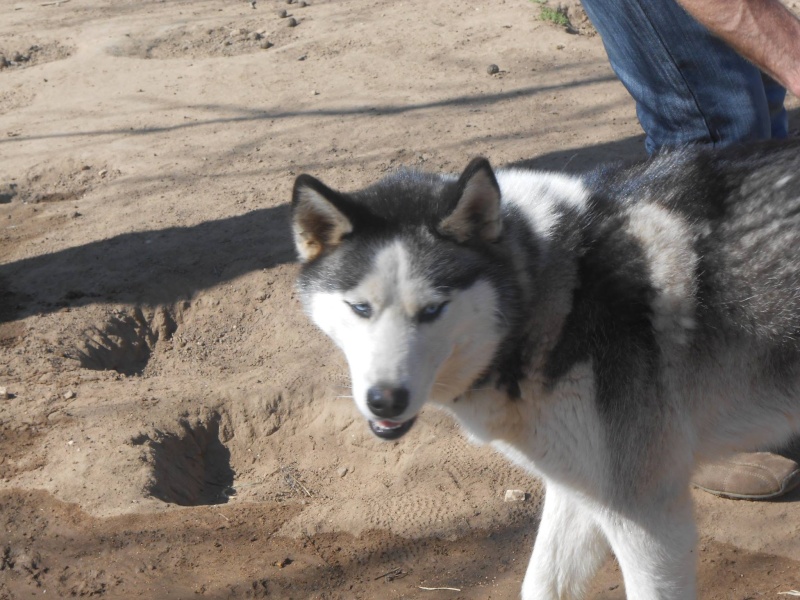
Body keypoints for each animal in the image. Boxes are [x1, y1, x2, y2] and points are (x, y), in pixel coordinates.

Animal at [290, 138, 800, 596]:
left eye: (433, 310)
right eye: (360, 308)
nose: (384, 400)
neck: (563, 295)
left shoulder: (648, 517)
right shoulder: (581, 489)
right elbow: (542, 584)